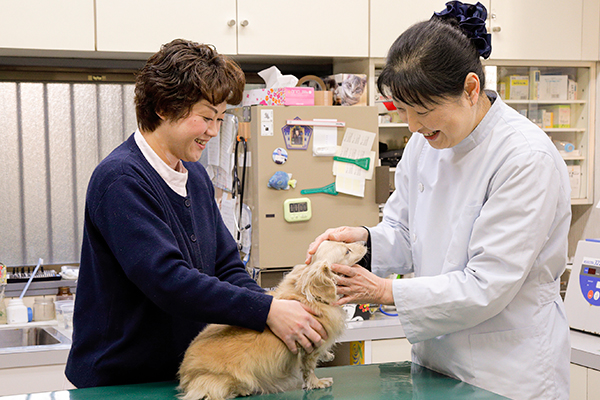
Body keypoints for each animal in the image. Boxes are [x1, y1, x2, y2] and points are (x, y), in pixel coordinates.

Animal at [176, 241, 368, 400]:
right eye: (347, 250)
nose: (364, 242)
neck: (311, 295)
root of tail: (185, 372)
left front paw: (327, 355)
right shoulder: (309, 348)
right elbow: (309, 368)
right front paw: (317, 382)